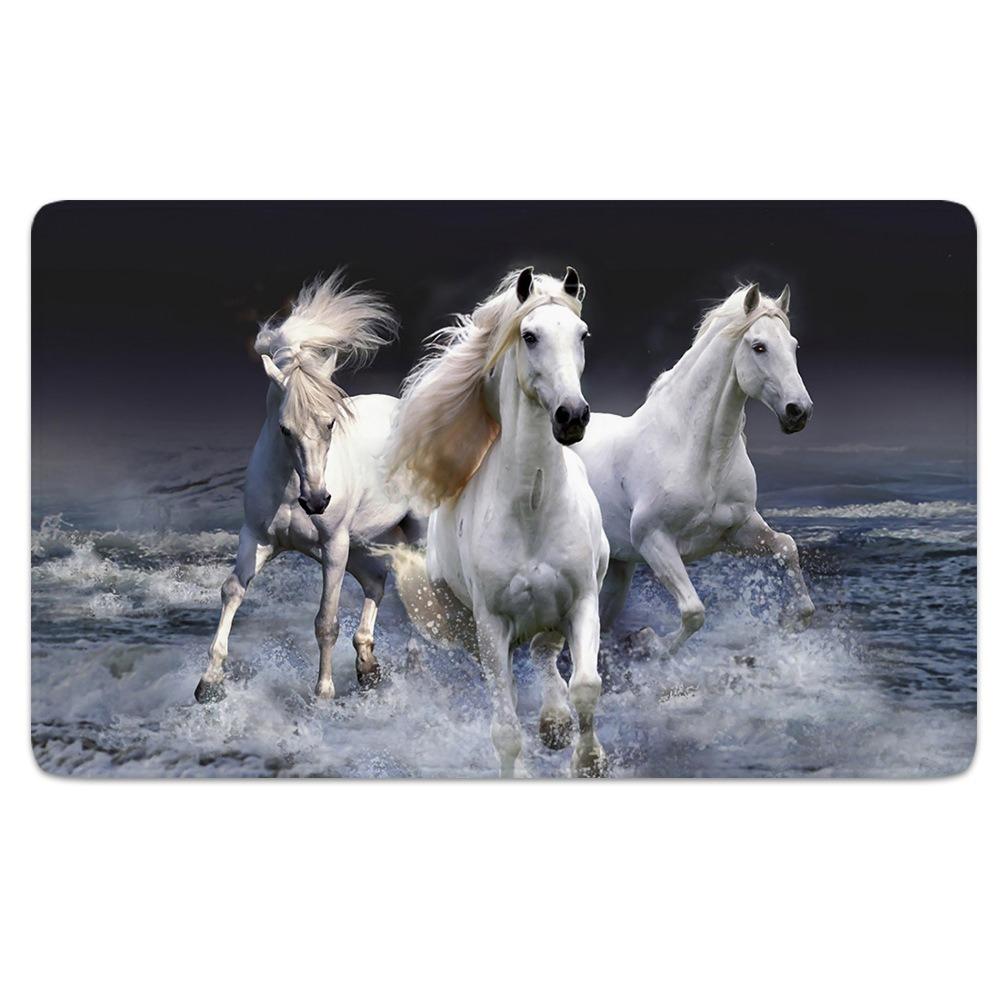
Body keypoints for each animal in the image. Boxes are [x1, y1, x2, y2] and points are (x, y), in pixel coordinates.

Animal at [194, 273, 421, 704]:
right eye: (285, 429)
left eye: (330, 422)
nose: (317, 501)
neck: (289, 488)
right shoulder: (258, 538)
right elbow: (232, 591)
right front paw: (209, 682)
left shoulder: (333, 546)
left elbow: (325, 621)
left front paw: (324, 694)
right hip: (363, 543)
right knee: (377, 583)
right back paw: (368, 667)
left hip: (407, 535)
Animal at [384, 267, 610, 777]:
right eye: (529, 336)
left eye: (583, 334)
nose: (572, 416)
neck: (533, 508)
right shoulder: (491, 625)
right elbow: (505, 731)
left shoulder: (583, 600)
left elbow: (586, 687)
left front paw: (588, 761)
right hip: (470, 627)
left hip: (553, 614)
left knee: (545, 655)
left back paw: (554, 722)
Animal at [573, 282, 815, 656]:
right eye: (759, 347)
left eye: (793, 345)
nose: (798, 411)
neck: (698, 455)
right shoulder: (654, 540)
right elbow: (694, 612)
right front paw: (648, 642)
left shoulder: (736, 532)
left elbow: (787, 547)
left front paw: (788, 621)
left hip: (617, 568)